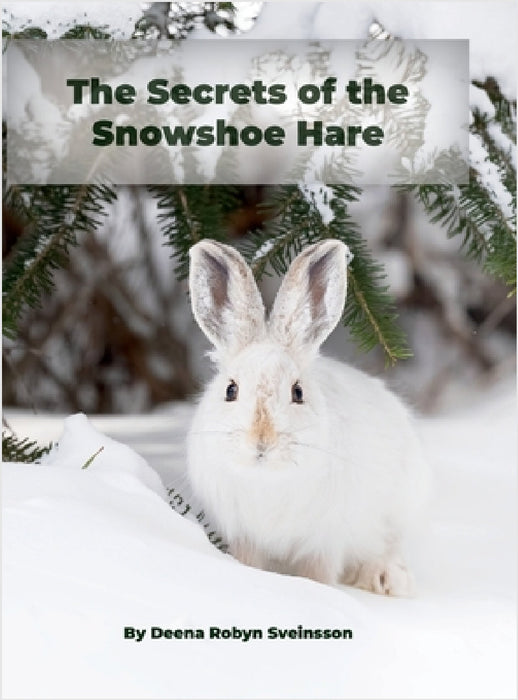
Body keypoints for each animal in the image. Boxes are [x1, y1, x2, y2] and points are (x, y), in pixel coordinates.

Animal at [186, 238, 431, 596]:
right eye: (230, 390)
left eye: (298, 392)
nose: (262, 442)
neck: (268, 478)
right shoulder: (245, 535)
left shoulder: (324, 541)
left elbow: (319, 573)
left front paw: (318, 593)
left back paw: (386, 579)